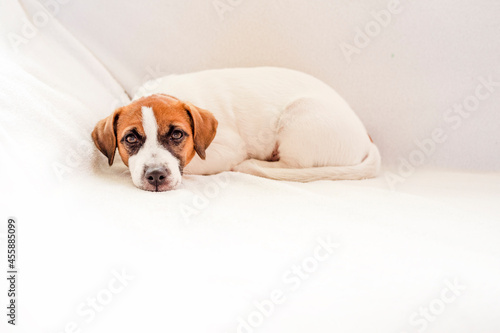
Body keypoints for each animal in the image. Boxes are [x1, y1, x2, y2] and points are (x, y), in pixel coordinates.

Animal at [92, 66, 380, 191]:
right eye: (130, 138)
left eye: (177, 135)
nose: (155, 176)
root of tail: (367, 140)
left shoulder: (227, 151)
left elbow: (195, 161)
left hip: (299, 118)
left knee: (293, 166)